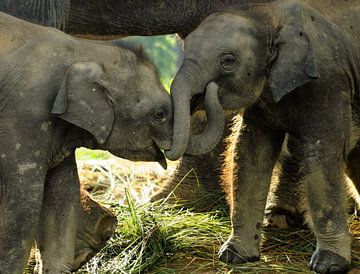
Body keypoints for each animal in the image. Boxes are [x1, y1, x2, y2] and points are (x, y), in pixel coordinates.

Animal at [166, 1, 360, 272]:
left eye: (228, 61)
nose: (205, 94)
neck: (271, 18)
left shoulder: (328, 83)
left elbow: (322, 154)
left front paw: (329, 265)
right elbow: (250, 154)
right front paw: (234, 256)